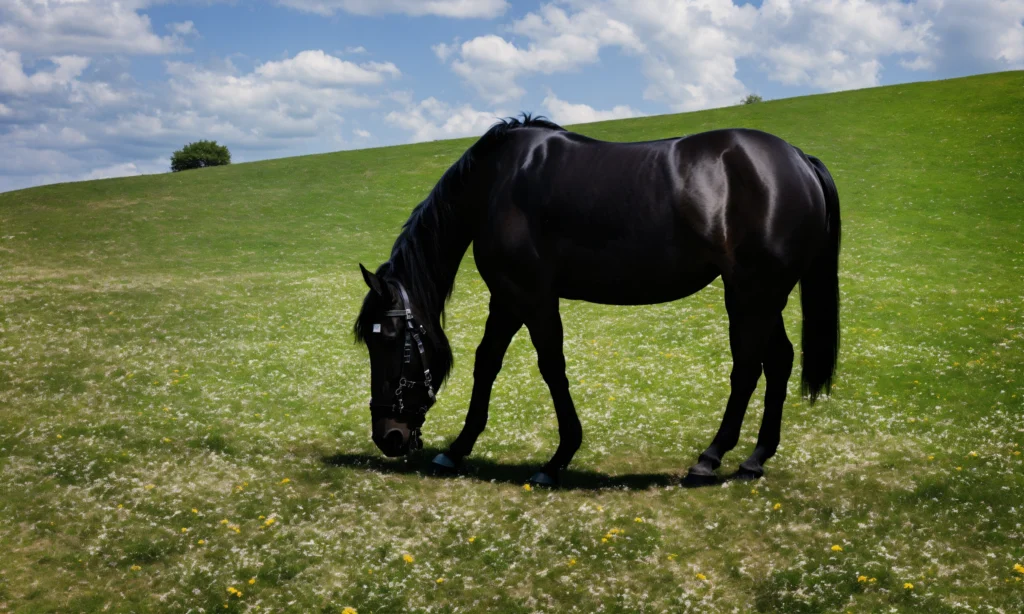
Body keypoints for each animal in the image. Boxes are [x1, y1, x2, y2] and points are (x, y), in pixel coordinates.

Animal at [355, 114, 840, 487]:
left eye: (387, 338)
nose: (388, 436)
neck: (496, 184)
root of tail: (799, 159)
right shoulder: (507, 299)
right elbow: (486, 362)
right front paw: (457, 449)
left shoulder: (531, 296)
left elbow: (551, 366)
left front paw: (557, 459)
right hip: (762, 298)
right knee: (778, 360)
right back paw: (755, 459)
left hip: (751, 294)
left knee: (748, 368)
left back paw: (710, 458)